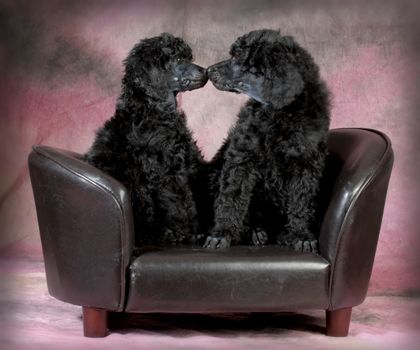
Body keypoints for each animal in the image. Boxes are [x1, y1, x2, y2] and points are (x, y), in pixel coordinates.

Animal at [85, 32, 208, 246]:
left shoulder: (188, 161)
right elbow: (180, 204)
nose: (206, 71)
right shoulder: (165, 170)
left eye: (188, 57)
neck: (152, 108)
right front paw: (189, 233)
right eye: (178, 59)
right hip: (137, 189)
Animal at [205, 28, 330, 252]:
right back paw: (255, 232)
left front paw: (301, 234)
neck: (280, 113)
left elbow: (301, 200)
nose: (209, 70)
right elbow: (231, 196)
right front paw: (222, 233)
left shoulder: (306, 163)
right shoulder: (242, 157)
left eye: (237, 57)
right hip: (215, 172)